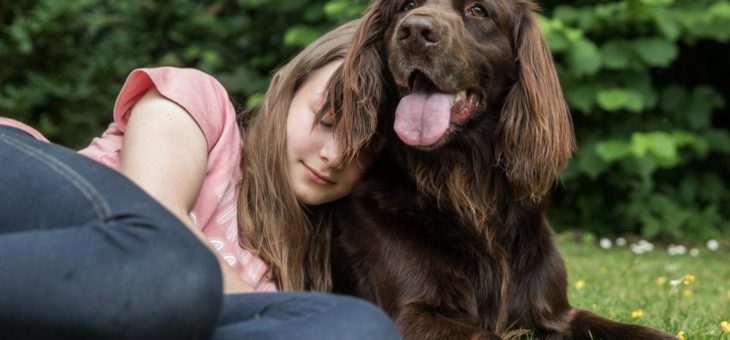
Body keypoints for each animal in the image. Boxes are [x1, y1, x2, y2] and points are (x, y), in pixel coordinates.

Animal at [328, 0, 672, 340]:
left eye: (479, 10)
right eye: (407, 5)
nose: (414, 31)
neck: (468, 187)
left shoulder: (556, 312)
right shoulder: (411, 314)